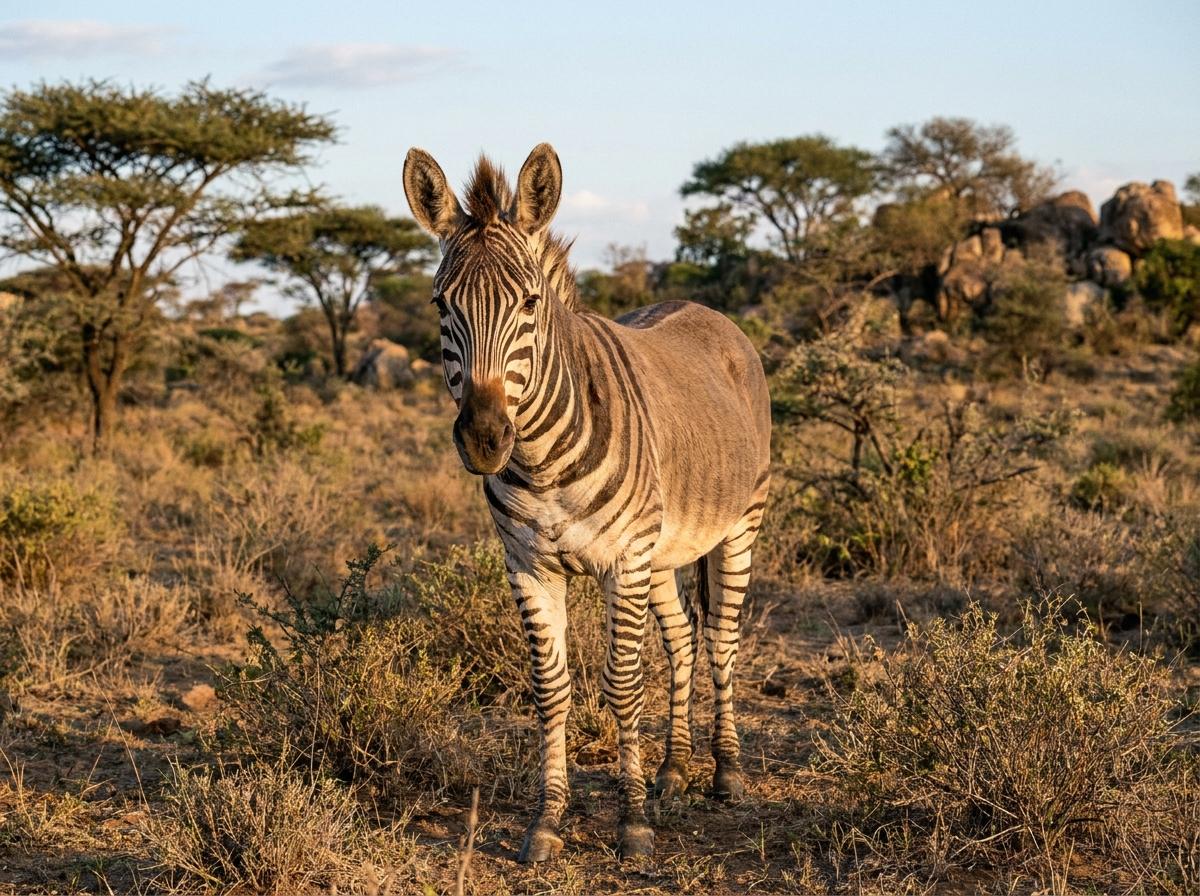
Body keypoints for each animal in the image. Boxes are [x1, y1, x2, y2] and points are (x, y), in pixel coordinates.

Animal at [402, 144, 771, 862]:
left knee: (720, 639)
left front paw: (632, 825)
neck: (542, 461)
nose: (484, 438)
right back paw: (673, 771)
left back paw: (726, 772)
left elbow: (622, 684)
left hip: (740, 523)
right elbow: (551, 690)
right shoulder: (529, 565)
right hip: (664, 552)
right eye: (440, 304)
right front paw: (547, 822)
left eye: (528, 303)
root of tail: (705, 309)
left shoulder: (621, 561)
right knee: (682, 639)